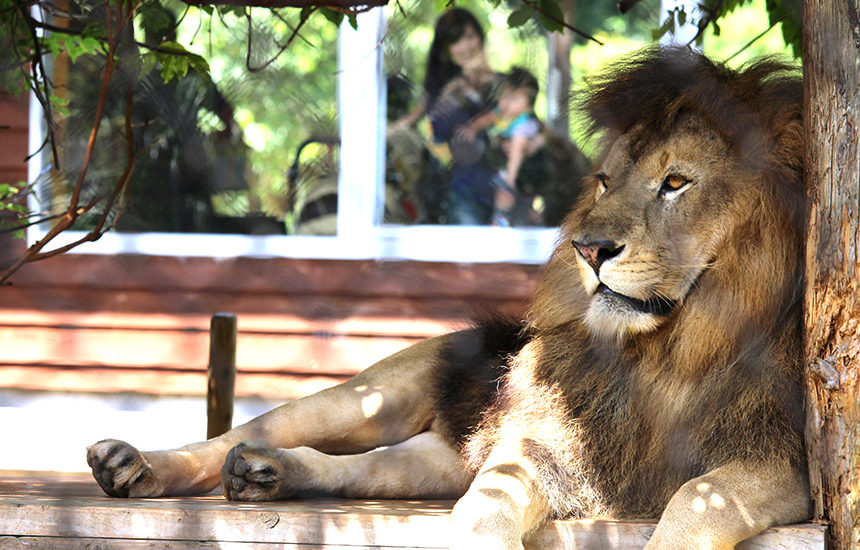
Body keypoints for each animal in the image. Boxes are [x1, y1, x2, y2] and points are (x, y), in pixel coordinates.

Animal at [87, 48, 812, 550]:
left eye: (676, 182)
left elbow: (698, 494)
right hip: (373, 394)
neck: (676, 350)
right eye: (606, 181)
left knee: (364, 470)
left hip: (434, 457)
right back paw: (136, 466)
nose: (588, 249)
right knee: (245, 432)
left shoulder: (786, 463)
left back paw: (268, 474)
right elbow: (486, 504)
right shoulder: (544, 441)